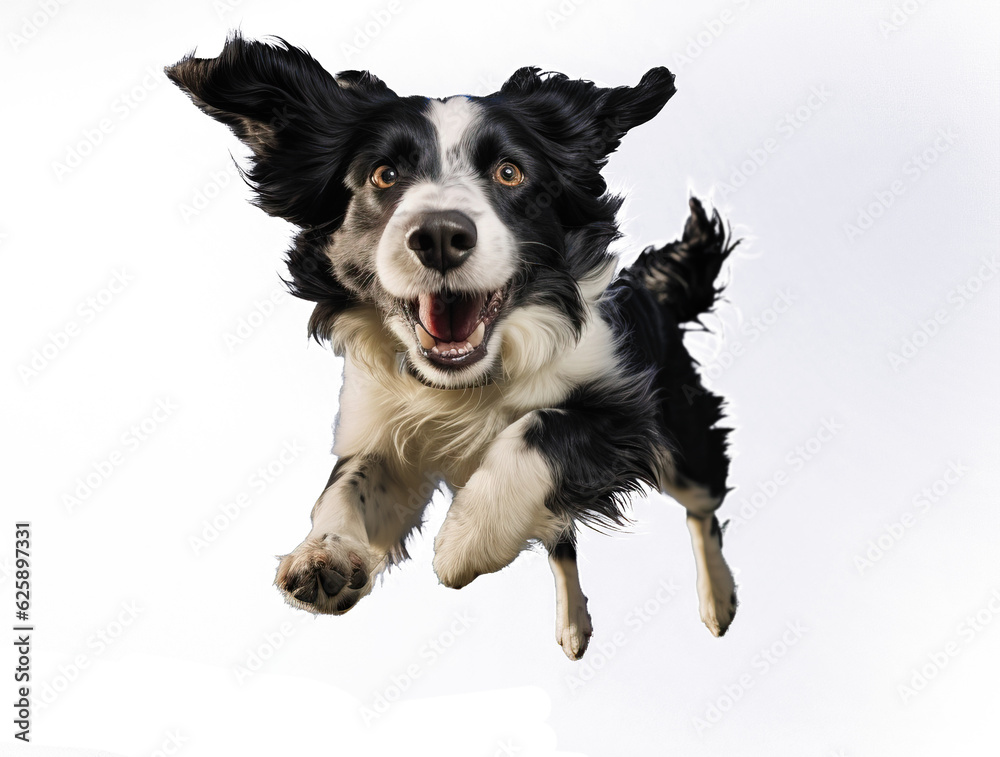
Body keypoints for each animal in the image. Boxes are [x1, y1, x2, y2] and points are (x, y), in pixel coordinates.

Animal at [168, 35, 740, 660]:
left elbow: (539, 426)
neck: (468, 382)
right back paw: (573, 627)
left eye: (510, 172)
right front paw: (325, 555)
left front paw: (467, 540)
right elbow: (347, 485)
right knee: (562, 540)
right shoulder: (383, 422)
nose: (440, 235)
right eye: (384, 174)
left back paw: (718, 602)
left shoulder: (625, 409)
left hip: (681, 437)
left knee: (702, 507)